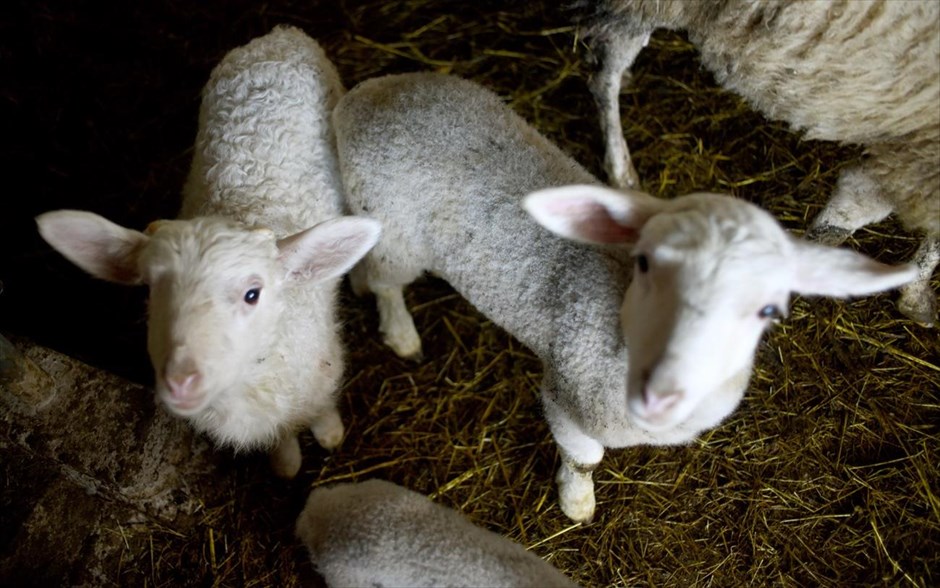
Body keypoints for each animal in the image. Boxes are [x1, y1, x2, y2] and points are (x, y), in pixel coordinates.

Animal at [332, 71, 916, 520]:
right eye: (646, 265)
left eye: (768, 308)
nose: (665, 389)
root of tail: (369, 92)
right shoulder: (566, 400)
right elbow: (584, 459)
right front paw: (576, 504)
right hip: (396, 234)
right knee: (386, 285)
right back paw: (402, 335)